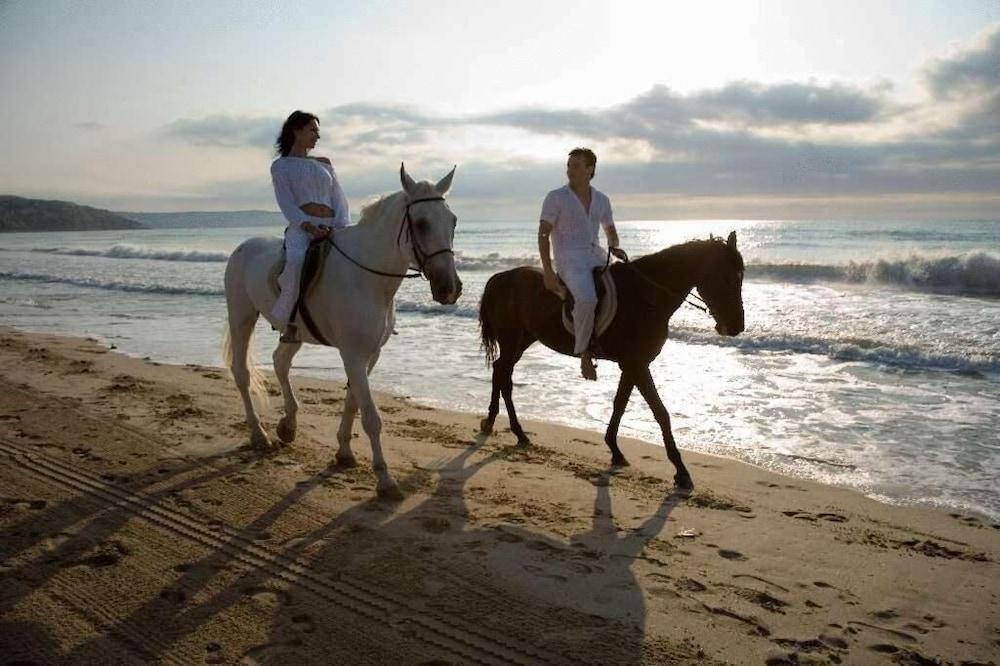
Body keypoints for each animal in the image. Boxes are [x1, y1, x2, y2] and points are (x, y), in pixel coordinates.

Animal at [223, 165, 460, 498]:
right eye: (421, 223)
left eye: (452, 221)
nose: (449, 288)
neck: (367, 279)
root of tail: (243, 246)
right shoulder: (353, 354)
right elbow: (371, 416)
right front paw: (385, 479)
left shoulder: (369, 355)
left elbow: (353, 402)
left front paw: (344, 454)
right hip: (241, 316)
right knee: (242, 373)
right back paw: (259, 435)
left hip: (294, 332)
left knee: (281, 361)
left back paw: (288, 424)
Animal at [476, 232, 744, 488]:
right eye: (726, 277)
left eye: (740, 277)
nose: (736, 326)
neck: (645, 296)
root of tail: (499, 278)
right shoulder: (637, 365)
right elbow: (661, 413)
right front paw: (681, 471)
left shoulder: (633, 365)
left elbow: (620, 404)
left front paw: (615, 450)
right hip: (511, 340)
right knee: (504, 377)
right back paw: (514, 430)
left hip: (522, 340)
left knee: (501, 372)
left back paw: (497, 424)